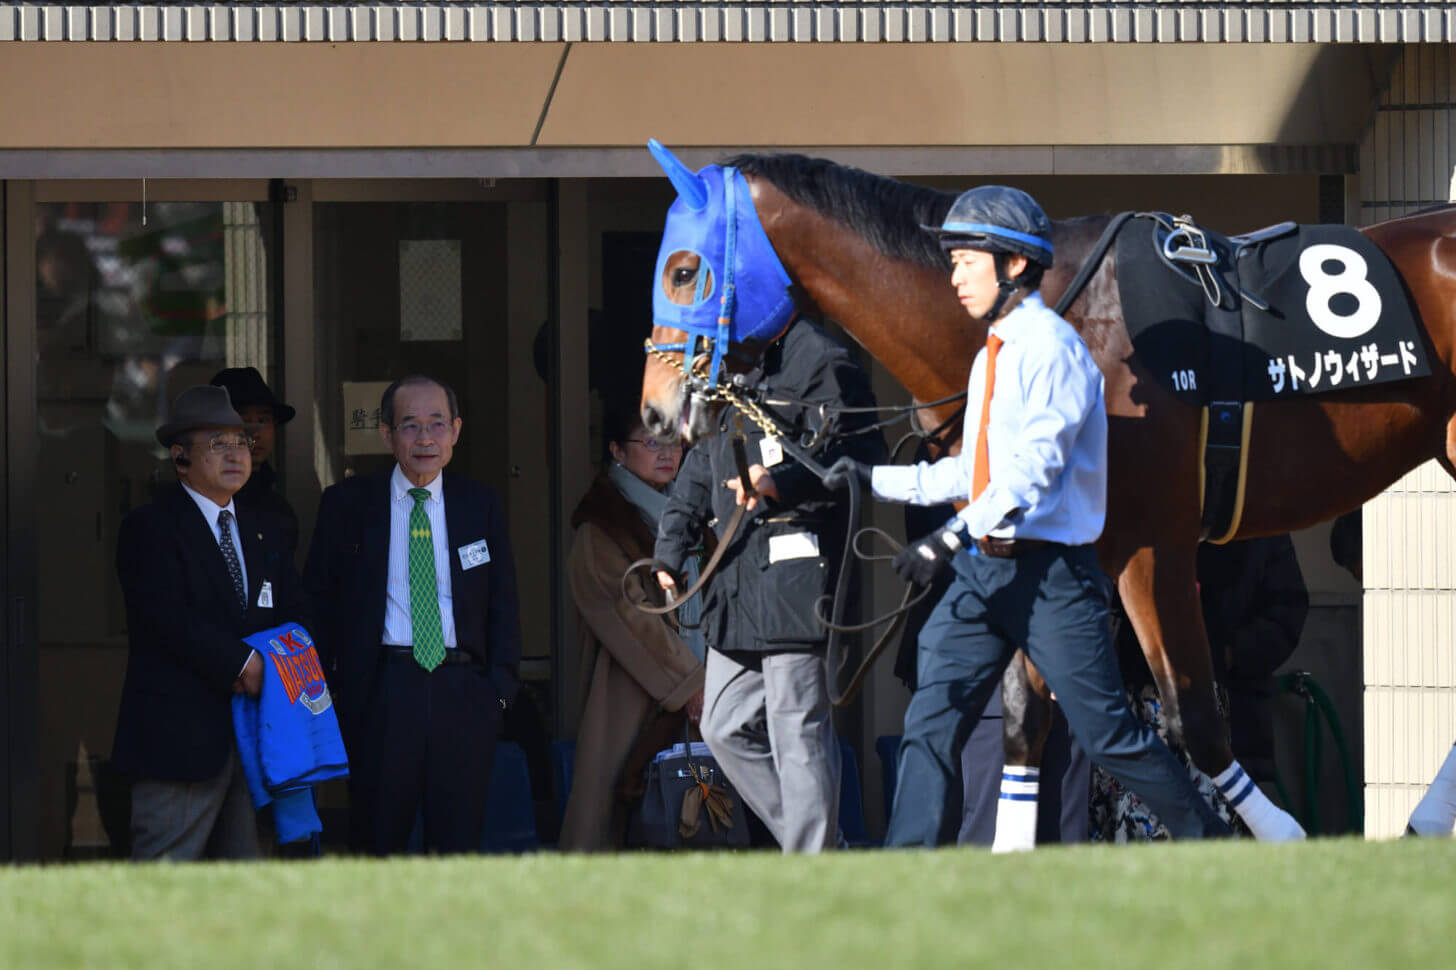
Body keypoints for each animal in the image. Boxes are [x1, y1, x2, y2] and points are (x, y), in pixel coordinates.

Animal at [640, 147, 1456, 833]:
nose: (654, 409)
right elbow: (1026, 720)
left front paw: (1278, 835)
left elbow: (1192, 716)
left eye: (682, 269)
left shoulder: (1152, 543)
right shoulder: (1035, 545)